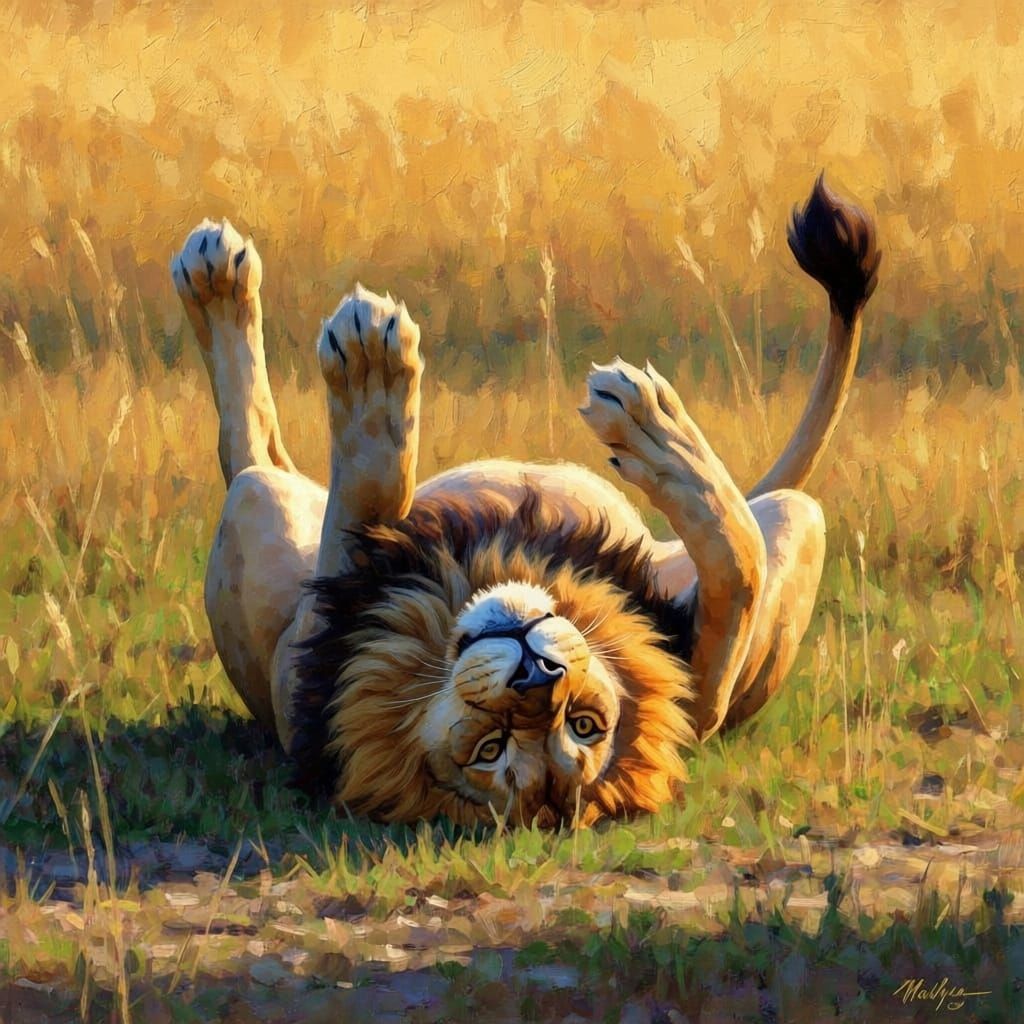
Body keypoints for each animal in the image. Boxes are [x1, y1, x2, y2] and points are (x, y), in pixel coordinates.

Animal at [171, 175, 879, 827]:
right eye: (494, 746)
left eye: (580, 726)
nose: (537, 675)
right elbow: (737, 566)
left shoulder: (307, 653)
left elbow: (366, 494)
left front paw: (373, 369)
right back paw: (216, 267)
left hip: (256, 511)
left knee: (251, 450)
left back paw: (220, 284)